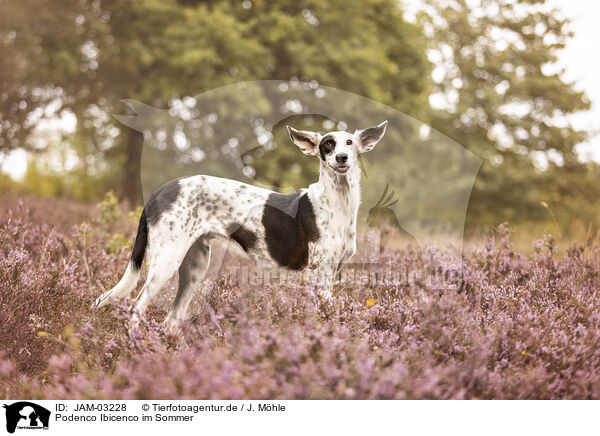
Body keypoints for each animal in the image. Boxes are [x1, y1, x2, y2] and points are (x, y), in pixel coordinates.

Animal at [91, 119, 386, 330]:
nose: (341, 157)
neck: (338, 202)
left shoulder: (332, 273)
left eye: (349, 142)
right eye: (327, 145)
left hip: (195, 266)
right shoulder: (321, 277)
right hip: (166, 262)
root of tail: (160, 191)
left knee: (170, 320)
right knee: (136, 309)